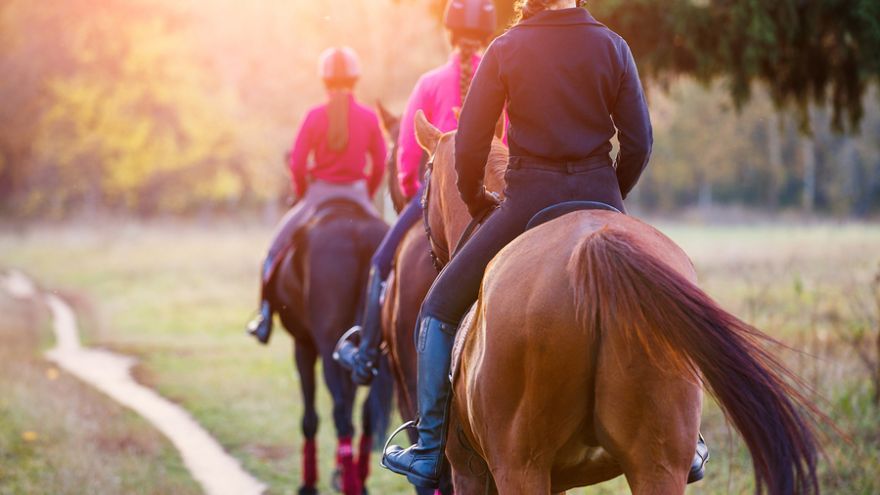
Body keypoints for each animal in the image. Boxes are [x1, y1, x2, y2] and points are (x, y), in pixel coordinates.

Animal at [270, 202, 390, 495]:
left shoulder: (303, 345)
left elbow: (310, 417)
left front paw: (309, 484)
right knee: (365, 414)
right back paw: (358, 479)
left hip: (327, 350)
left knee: (341, 416)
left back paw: (350, 483)